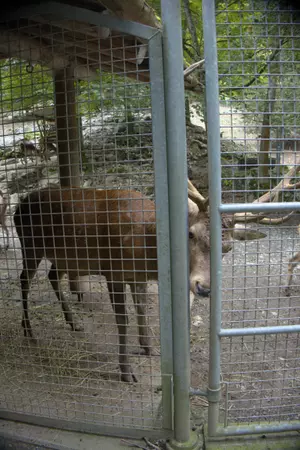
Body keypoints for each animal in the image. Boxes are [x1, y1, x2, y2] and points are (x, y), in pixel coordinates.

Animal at [14, 181, 262, 382]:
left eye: (228, 248)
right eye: (190, 233)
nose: (204, 287)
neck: (146, 248)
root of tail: (19, 205)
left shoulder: (138, 277)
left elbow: (141, 308)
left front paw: (149, 348)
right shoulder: (113, 271)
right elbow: (122, 320)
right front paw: (126, 371)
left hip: (64, 256)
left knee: (52, 276)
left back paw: (73, 322)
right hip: (30, 245)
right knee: (24, 279)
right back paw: (28, 329)